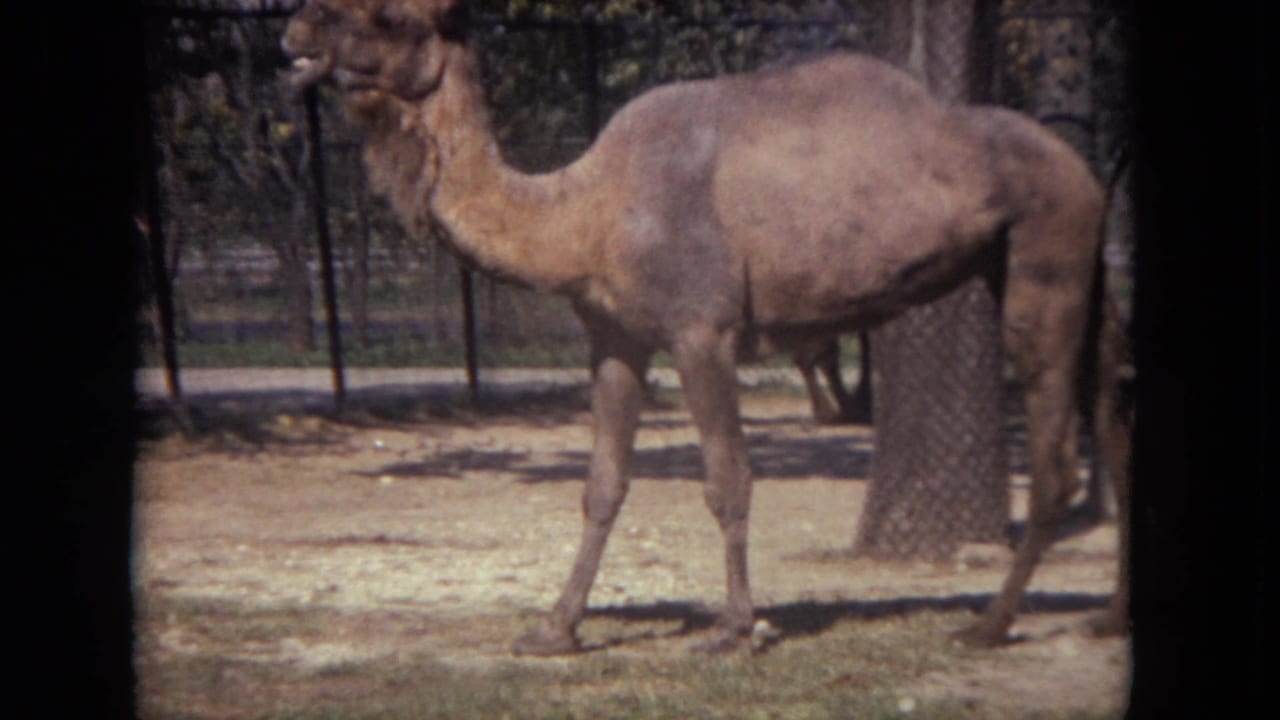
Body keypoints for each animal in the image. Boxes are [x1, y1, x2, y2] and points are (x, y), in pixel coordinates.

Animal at [282, 0, 1131, 655]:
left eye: (389, 16)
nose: (297, 29)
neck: (583, 214)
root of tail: (1087, 175)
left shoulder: (703, 331)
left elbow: (728, 480)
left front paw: (734, 629)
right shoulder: (615, 341)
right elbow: (602, 485)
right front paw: (555, 630)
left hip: (1045, 250)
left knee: (1059, 461)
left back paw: (988, 625)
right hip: (1067, 270)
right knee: (1114, 421)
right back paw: (1108, 619)